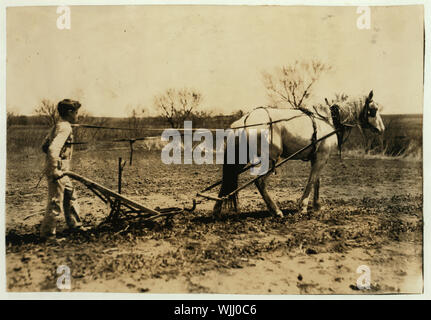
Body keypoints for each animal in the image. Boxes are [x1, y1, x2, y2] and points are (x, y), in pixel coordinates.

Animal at [214, 90, 386, 218]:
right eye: (373, 110)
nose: (382, 129)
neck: (328, 120)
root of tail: (244, 120)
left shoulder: (317, 158)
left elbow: (317, 181)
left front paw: (317, 205)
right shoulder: (321, 157)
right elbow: (312, 180)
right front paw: (303, 206)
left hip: (241, 159)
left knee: (228, 180)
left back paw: (217, 209)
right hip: (270, 161)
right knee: (260, 182)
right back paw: (276, 210)